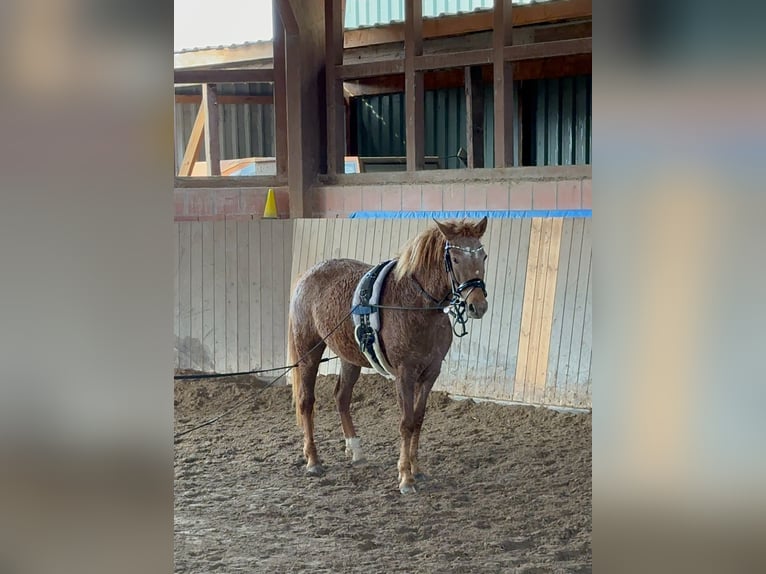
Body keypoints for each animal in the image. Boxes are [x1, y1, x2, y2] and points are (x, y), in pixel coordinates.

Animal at [287, 217, 489, 494]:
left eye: (483, 256)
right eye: (456, 259)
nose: (477, 306)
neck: (416, 305)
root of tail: (307, 275)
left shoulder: (430, 373)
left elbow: (418, 420)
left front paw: (416, 469)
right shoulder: (405, 374)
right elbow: (406, 422)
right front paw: (405, 477)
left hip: (350, 359)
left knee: (342, 398)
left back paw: (356, 451)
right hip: (310, 351)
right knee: (306, 401)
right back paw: (313, 461)